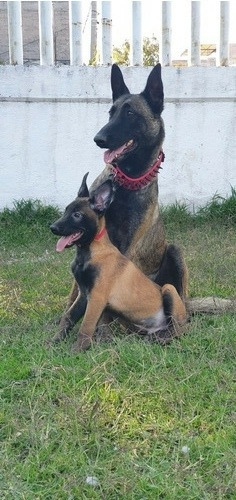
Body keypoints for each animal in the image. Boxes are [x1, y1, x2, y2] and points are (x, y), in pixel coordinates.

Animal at [49, 174, 186, 354]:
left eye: (77, 215)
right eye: (65, 211)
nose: (52, 227)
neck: (89, 251)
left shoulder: (97, 297)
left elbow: (85, 327)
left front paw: (76, 352)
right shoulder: (84, 295)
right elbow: (68, 318)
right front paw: (53, 343)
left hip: (169, 289)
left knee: (179, 329)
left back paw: (164, 339)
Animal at [60, 62, 188, 344]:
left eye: (130, 113)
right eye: (111, 112)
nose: (98, 138)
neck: (126, 184)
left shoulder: (127, 248)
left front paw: (101, 331)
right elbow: (75, 294)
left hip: (175, 253)